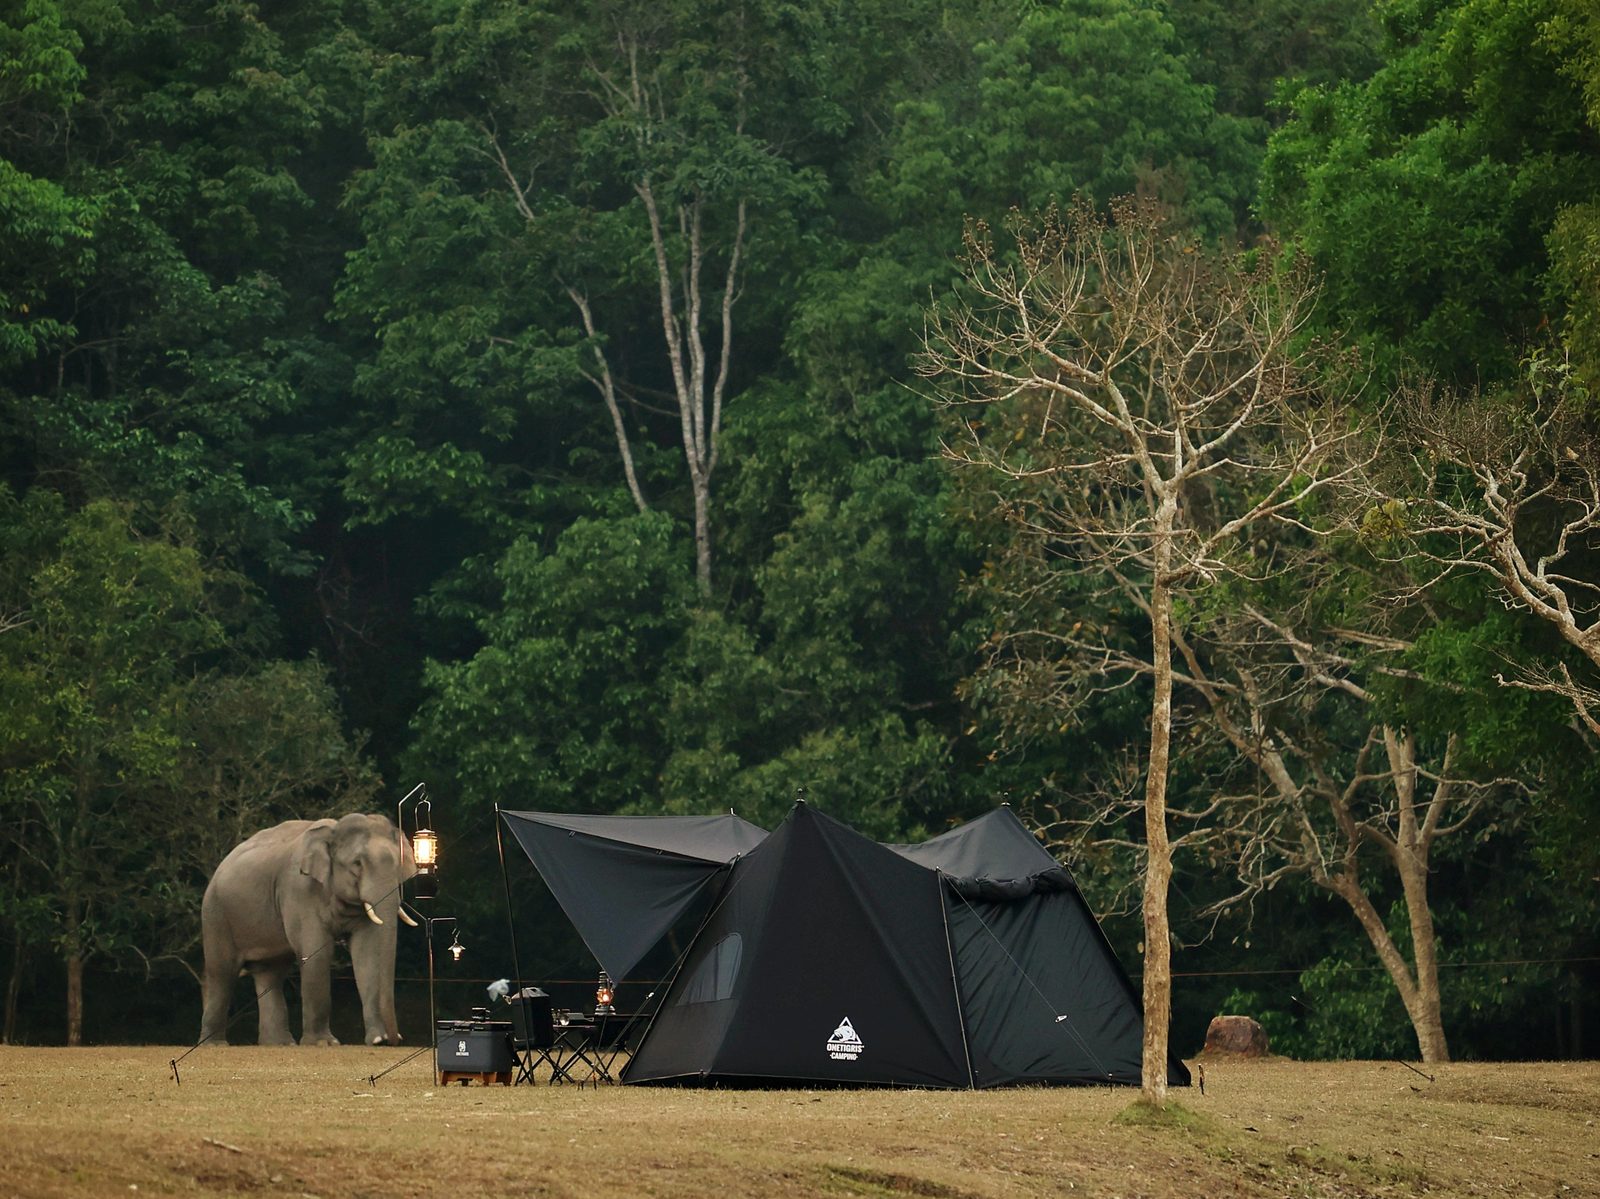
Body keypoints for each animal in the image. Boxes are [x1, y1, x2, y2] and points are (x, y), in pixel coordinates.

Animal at [200, 813, 419, 1046]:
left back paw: (281, 1044)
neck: (333, 831)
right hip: (216, 914)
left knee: (269, 974)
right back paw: (214, 1044)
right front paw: (324, 1043)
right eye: (357, 863)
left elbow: (366, 953)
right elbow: (317, 953)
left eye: (397, 865)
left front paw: (377, 1039)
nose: (395, 1039)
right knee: (222, 973)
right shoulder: (299, 891)